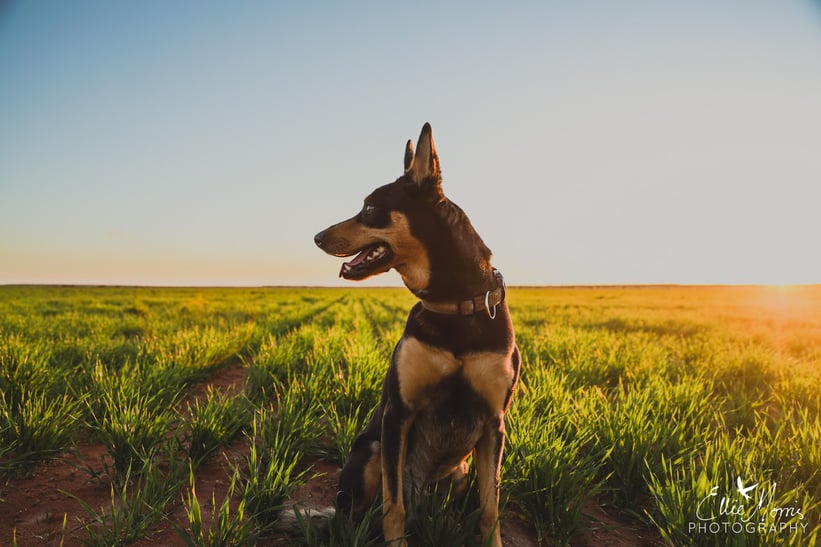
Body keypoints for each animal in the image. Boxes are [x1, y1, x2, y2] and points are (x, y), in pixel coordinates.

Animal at [314, 124, 520, 547]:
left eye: (369, 208)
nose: (318, 237)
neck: (454, 305)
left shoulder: (494, 423)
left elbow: (490, 509)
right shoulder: (398, 414)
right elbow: (394, 509)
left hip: (458, 474)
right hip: (371, 452)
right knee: (358, 517)